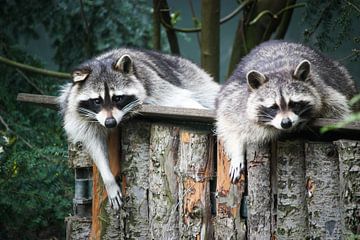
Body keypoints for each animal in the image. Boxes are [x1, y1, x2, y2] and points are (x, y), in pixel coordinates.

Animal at [59, 48, 219, 210]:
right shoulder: (80, 114)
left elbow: (181, 100)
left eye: (117, 98)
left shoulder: (154, 86)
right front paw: (108, 179)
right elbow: (94, 144)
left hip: (192, 77)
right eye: (97, 101)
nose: (110, 123)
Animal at [215, 39, 358, 182]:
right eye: (273, 107)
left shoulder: (325, 93)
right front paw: (237, 152)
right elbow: (228, 122)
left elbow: (340, 111)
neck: (277, 70)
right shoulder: (237, 97)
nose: (286, 123)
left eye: (294, 104)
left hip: (341, 76)